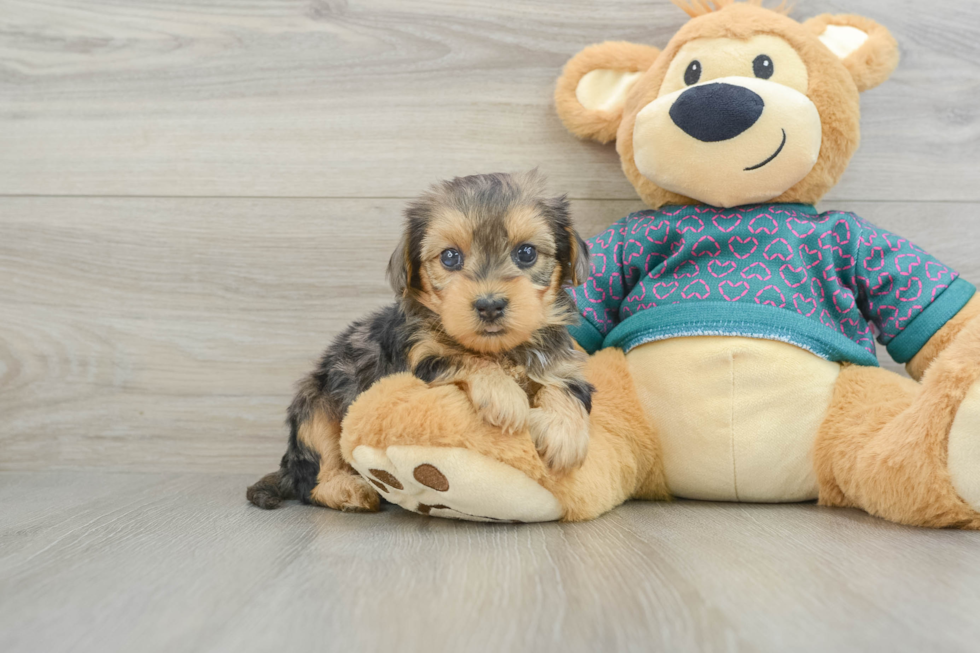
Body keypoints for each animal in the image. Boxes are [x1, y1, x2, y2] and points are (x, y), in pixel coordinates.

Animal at [249, 172, 592, 510]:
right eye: (450, 257)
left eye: (526, 253)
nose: (490, 305)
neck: (500, 350)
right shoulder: (417, 357)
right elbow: (462, 358)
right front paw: (504, 395)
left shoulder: (562, 361)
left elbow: (566, 387)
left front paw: (565, 433)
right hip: (315, 410)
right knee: (315, 479)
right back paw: (351, 490)